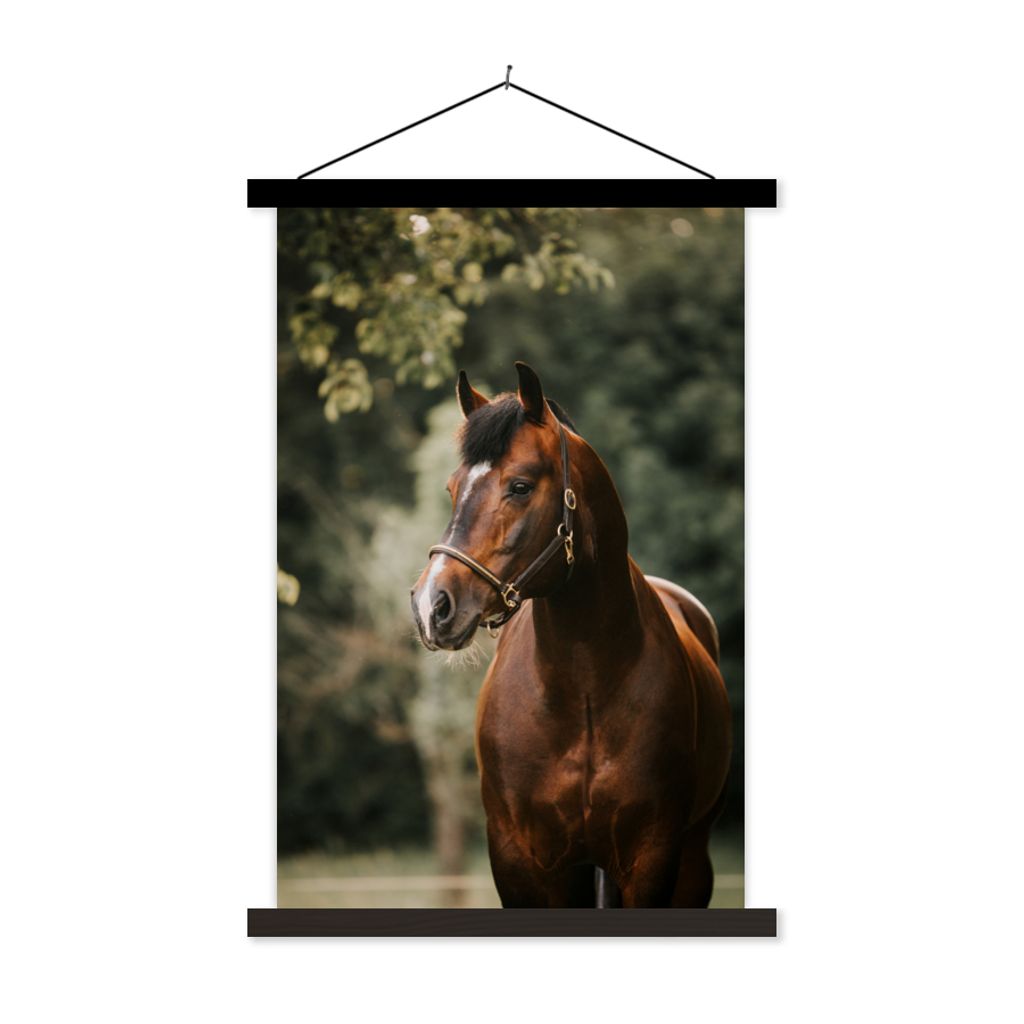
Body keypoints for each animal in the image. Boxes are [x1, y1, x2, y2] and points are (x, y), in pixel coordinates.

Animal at [410, 362, 732, 908]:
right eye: (452, 489)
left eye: (520, 486)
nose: (432, 605)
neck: (583, 688)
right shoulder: (520, 863)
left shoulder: (653, 858)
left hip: (690, 863)